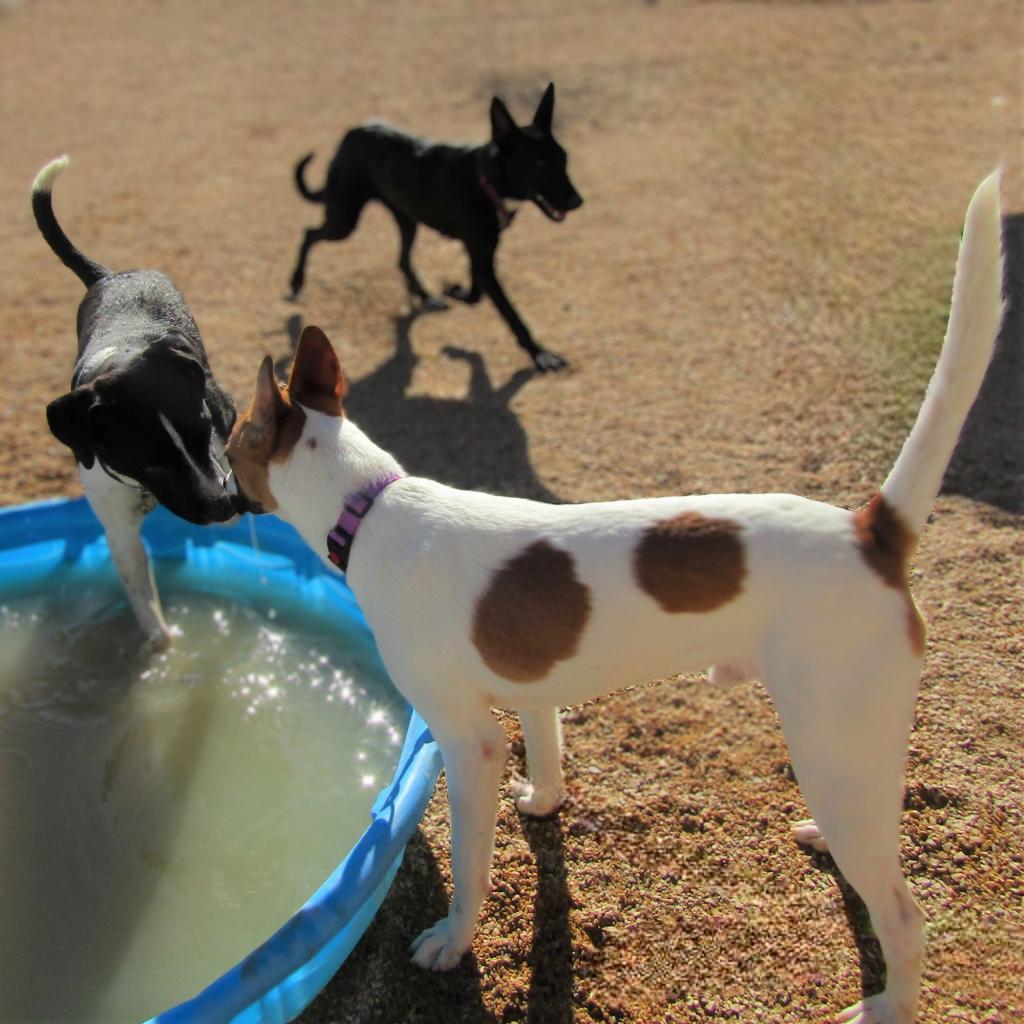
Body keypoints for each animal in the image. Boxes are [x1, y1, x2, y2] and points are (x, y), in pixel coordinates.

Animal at [32, 153, 241, 647]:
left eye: (203, 430)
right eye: (150, 463)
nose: (223, 506)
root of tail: (109, 275)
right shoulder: (119, 530)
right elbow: (145, 605)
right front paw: (161, 650)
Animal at [228, 172, 1003, 1019]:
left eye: (227, 440)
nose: (203, 488)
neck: (369, 506)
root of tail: (871, 531)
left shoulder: (467, 743)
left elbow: (470, 864)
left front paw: (453, 940)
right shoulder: (531, 694)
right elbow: (549, 750)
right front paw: (544, 801)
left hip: (835, 732)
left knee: (903, 914)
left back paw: (889, 1003)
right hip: (843, 756)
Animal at [288, 82, 585, 372]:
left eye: (564, 160)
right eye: (540, 165)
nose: (578, 201)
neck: (485, 180)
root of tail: (353, 131)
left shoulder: (482, 252)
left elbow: (476, 292)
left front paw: (457, 293)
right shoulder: (481, 255)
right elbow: (511, 313)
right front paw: (540, 354)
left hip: (407, 220)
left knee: (402, 260)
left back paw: (425, 296)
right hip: (344, 221)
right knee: (308, 234)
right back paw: (296, 283)